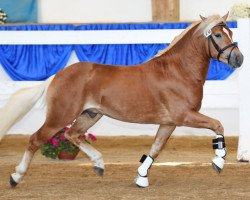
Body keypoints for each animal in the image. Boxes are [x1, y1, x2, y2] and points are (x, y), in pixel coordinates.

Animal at [0, 13, 243, 188]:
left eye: (230, 31)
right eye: (218, 35)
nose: (238, 58)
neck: (178, 71)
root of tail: (57, 76)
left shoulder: (169, 122)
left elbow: (156, 148)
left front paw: (141, 178)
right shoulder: (185, 116)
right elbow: (217, 125)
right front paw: (218, 162)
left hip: (91, 114)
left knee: (72, 134)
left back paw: (99, 164)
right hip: (60, 116)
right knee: (36, 139)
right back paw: (16, 177)